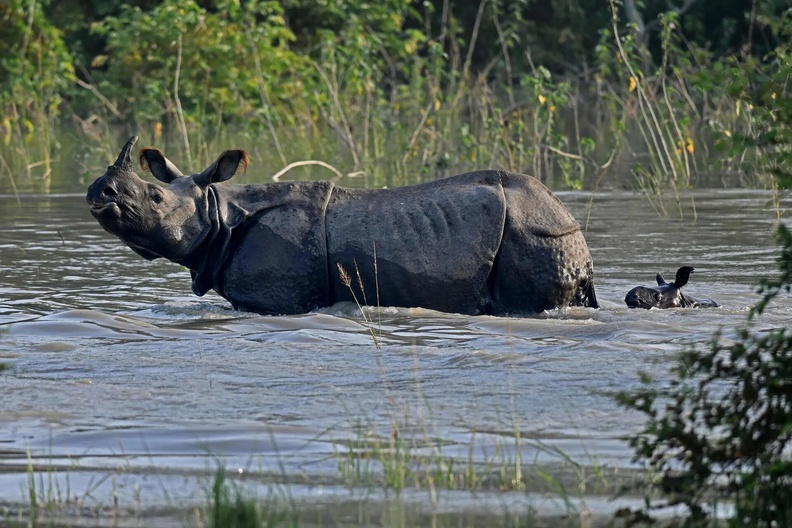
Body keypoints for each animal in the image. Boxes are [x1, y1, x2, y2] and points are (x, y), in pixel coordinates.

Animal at [86, 136, 599, 316]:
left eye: (155, 198)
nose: (98, 192)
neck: (218, 213)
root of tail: (570, 222)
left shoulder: (276, 298)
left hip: (531, 234)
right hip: (545, 231)